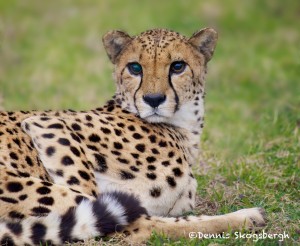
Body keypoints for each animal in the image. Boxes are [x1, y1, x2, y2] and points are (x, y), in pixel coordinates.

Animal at [0, 28, 268, 244]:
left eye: (178, 66)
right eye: (135, 67)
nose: (154, 99)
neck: (181, 127)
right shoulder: (45, 123)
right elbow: (100, 202)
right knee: (140, 225)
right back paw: (246, 217)